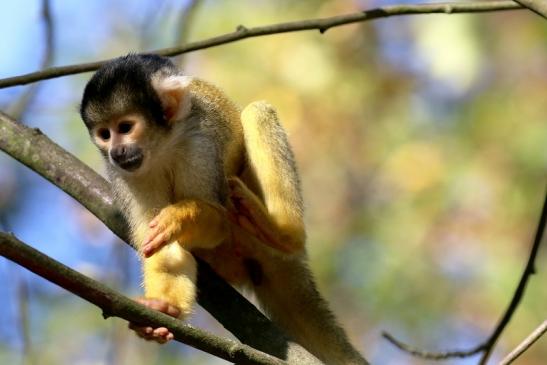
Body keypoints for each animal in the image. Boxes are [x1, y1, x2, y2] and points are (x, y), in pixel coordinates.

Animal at [79, 54, 368, 364]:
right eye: (104, 134)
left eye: (125, 128)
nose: (116, 152)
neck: (162, 147)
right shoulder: (124, 175)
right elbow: (161, 247)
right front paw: (163, 310)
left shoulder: (199, 145)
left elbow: (217, 219)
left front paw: (180, 217)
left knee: (256, 113)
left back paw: (282, 233)